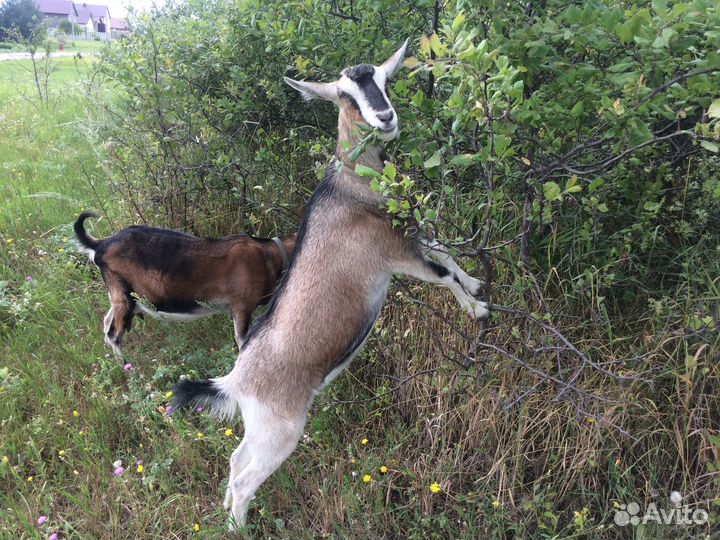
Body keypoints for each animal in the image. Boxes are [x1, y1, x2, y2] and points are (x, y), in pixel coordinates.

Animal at [74, 212, 295, 358]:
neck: (270, 255)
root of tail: (100, 245)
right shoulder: (241, 307)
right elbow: (243, 341)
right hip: (123, 295)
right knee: (114, 334)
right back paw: (129, 369)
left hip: (120, 297)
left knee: (106, 323)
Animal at [172, 39, 489, 530]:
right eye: (344, 95)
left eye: (384, 79)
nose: (386, 117)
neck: (352, 184)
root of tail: (235, 380)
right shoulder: (394, 255)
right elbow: (442, 273)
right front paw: (478, 309)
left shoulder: (411, 235)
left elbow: (447, 254)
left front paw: (476, 286)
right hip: (280, 432)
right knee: (245, 478)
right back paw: (239, 526)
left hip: (257, 428)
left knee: (234, 459)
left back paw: (226, 509)